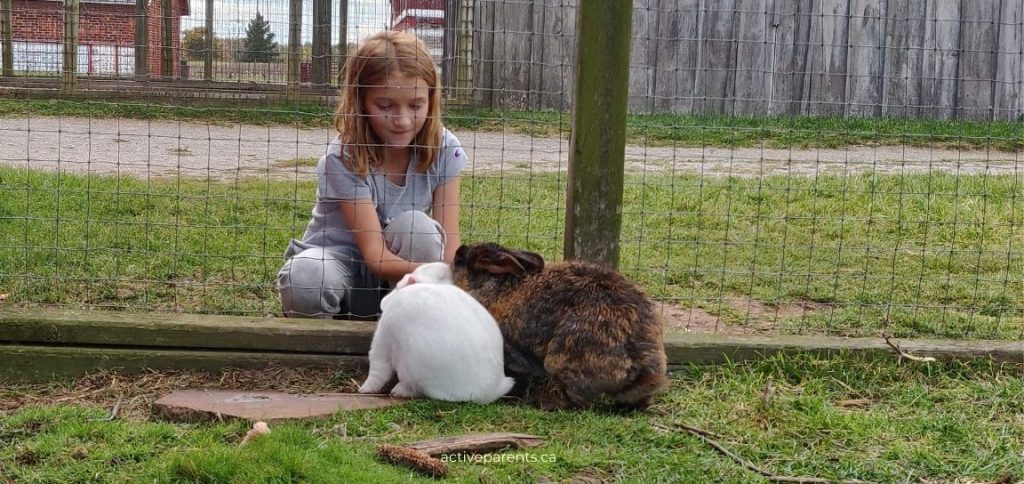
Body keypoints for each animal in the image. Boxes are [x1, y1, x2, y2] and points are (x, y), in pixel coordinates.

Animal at [358, 261, 516, 401]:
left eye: (398, 286)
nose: (383, 302)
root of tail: (493, 389)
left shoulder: (383, 338)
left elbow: (378, 368)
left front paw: (364, 389)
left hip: (411, 366)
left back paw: (398, 391)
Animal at [452, 241, 667, 407]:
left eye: (462, 259)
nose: (457, 252)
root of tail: (644, 373)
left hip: (559, 360)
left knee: (578, 401)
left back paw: (547, 402)